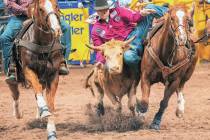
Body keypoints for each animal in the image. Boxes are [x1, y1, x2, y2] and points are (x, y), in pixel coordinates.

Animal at [6, 0, 63, 138]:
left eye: (56, 6)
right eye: (41, 9)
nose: (56, 29)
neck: (43, 45)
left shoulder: (53, 75)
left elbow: (51, 104)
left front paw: (51, 131)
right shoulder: (28, 70)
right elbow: (37, 89)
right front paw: (44, 110)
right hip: (15, 76)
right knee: (15, 92)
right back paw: (18, 113)